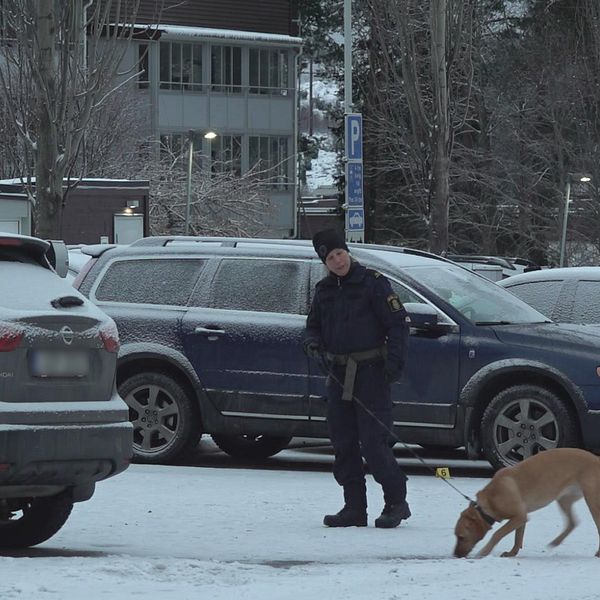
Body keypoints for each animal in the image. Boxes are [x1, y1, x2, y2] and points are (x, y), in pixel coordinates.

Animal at [452, 446, 600, 556]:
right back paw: (556, 542)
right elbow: (518, 537)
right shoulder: (521, 516)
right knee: (572, 522)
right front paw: (512, 553)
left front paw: (484, 552)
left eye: (461, 537)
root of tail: (597, 459)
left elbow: (498, 533)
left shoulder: (519, 516)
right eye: (456, 536)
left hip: (592, 501)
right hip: (564, 499)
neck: (492, 496)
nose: (455, 555)